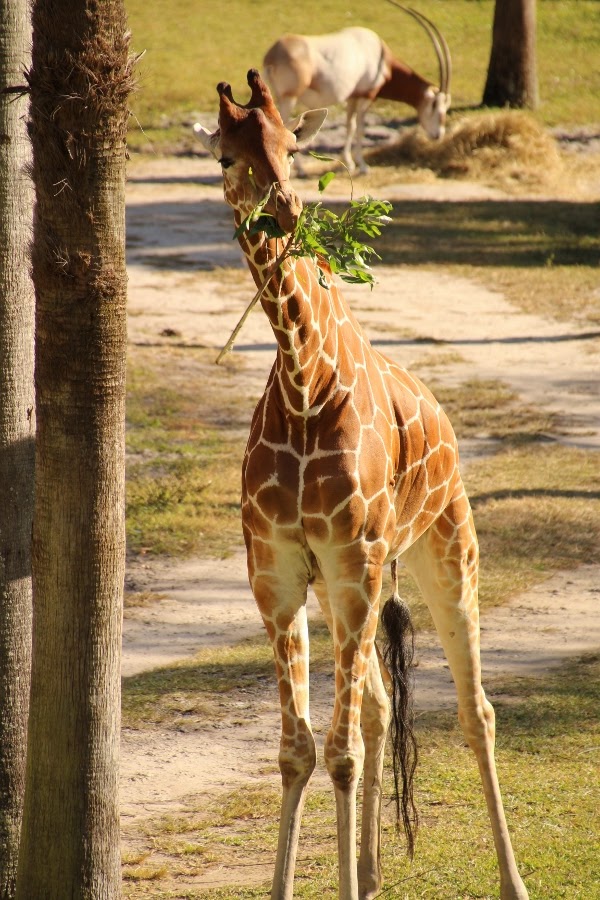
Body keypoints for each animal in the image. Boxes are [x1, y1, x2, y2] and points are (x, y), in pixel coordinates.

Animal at [195, 70, 528, 900]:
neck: (304, 381)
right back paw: (372, 871)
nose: (282, 208)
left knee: (476, 710)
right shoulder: (278, 574)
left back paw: (513, 880)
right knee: (380, 705)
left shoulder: (353, 563)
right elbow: (299, 750)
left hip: (445, 551)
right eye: (225, 157)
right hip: (361, 583)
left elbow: (338, 750)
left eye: (293, 146)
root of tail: (441, 417)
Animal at [262, 6, 450, 173]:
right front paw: (363, 166)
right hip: (289, 97)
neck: (381, 58)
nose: (438, 135)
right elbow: (360, 128)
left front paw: (350, 163)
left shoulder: (353, 96)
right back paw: (300, 170)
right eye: (436, 107)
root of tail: (272, 55)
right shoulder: (367, 96)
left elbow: (349, 126)